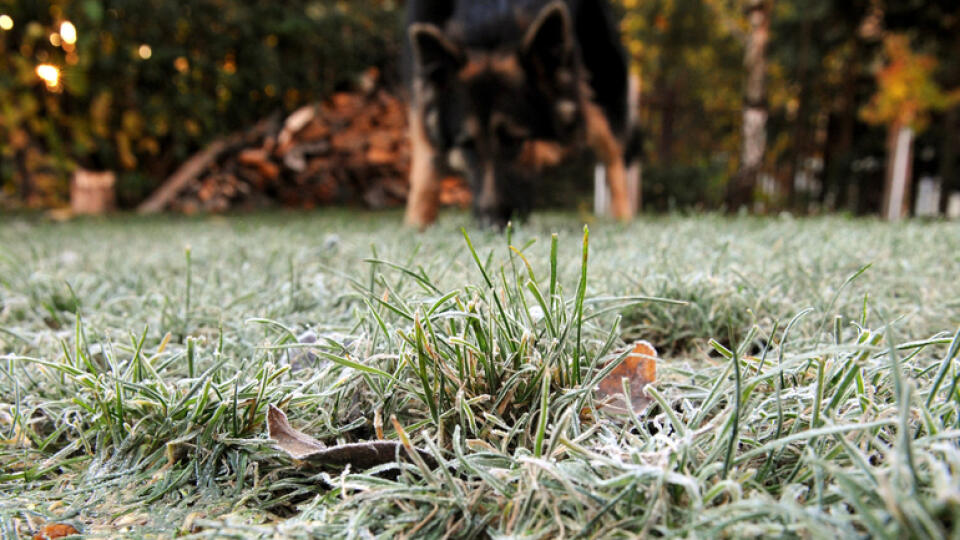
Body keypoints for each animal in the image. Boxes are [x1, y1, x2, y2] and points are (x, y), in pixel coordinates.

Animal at [404, 0, 636, 228]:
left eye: (514, 141)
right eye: (467, 145)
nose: (491, 225)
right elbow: (426, 161)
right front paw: (417, 222)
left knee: (612, 153)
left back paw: (623, 217)